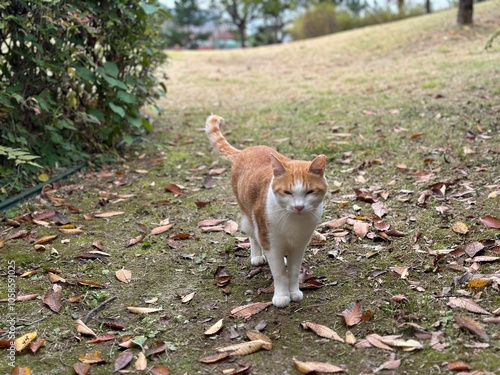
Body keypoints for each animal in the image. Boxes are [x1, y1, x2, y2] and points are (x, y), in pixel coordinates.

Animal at [204, 114, 328, 308]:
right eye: (287, 192)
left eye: (309, 192)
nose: (299, 206)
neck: (293, 221)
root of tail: (246, 150)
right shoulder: (270, 238)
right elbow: (279, 273)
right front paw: (282, 295)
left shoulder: (299, 245)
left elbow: (293, 271)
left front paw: (294, 291)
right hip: (249, 216)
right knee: (253, 235)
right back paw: (257, 255)